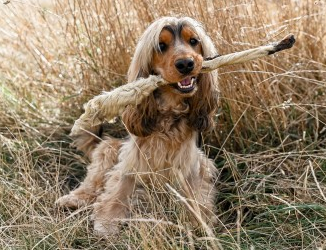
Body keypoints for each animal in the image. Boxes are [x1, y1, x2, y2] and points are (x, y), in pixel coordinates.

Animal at [56, 16, 219, 235]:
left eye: (193, 41)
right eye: (161, 46)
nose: (186, 64)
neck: (169, 113)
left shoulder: (191, 166)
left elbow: (195, 196)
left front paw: (199, 223)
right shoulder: (132, 160)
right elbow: (119, 188)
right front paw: (107, 222)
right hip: (109, 148)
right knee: (92, 182)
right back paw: (72, 200)